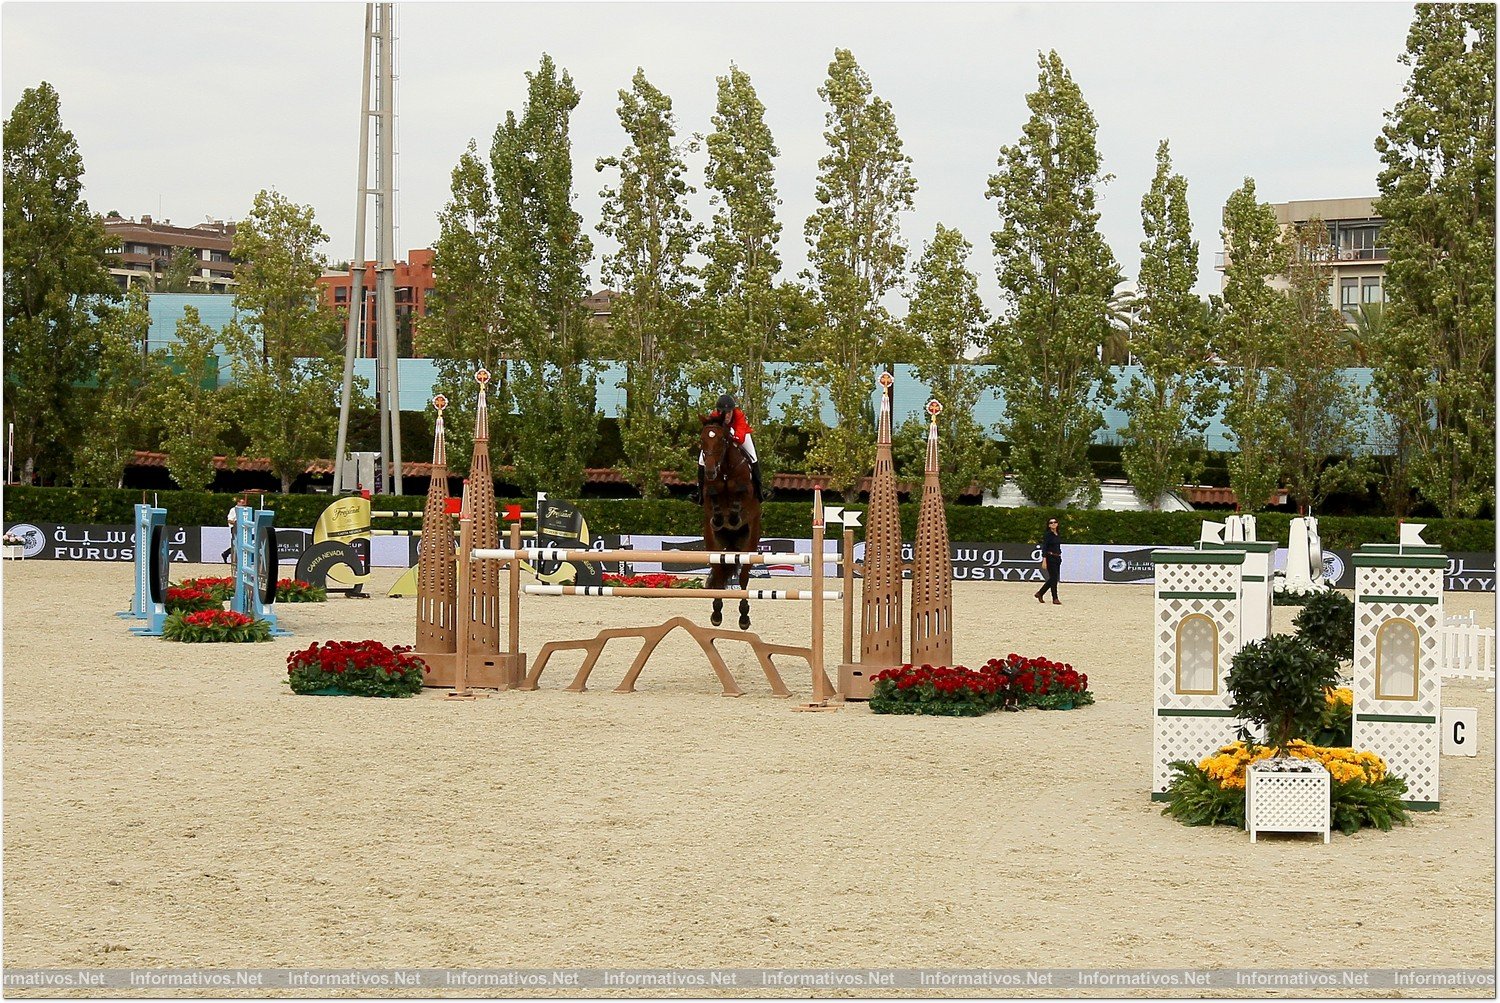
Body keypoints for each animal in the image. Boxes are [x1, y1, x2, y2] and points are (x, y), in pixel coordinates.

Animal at [693, 410, 756, 629]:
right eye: (702, 440)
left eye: (721, 439)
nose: (711, 471)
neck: (725, 469)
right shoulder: (709, 491)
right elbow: (713, 495)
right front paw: (720, 519)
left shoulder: (746, 492)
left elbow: (740, 494)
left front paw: (733, 517)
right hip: (714, 546)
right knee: (719, 576)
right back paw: (716, 614)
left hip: (749, 546)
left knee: (744, 579)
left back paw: (744, 618)